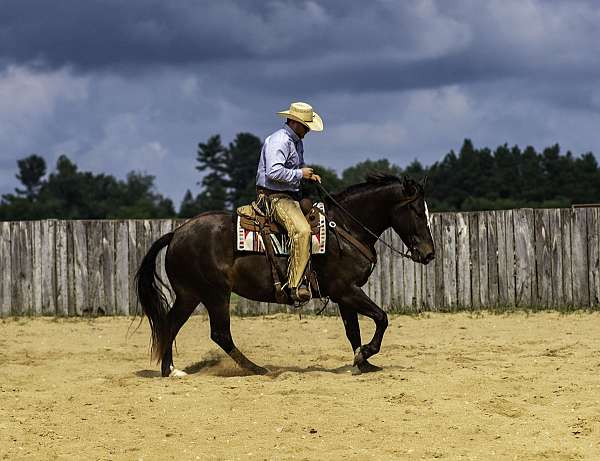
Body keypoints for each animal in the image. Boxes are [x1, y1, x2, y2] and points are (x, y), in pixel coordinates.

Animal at [137, 172, 436, 378]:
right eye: (416, 210)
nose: (429, 253)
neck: (345, 228)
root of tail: (177, 233)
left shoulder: (345, 295)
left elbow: (353, 330)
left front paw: (363, 362)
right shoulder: (346, 290)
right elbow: (381, 317)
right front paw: (367, 353)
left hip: (190, 294)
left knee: (171, 323)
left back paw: (170, 370)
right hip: (214, 294)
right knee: (219, 333)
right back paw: (257, 369)